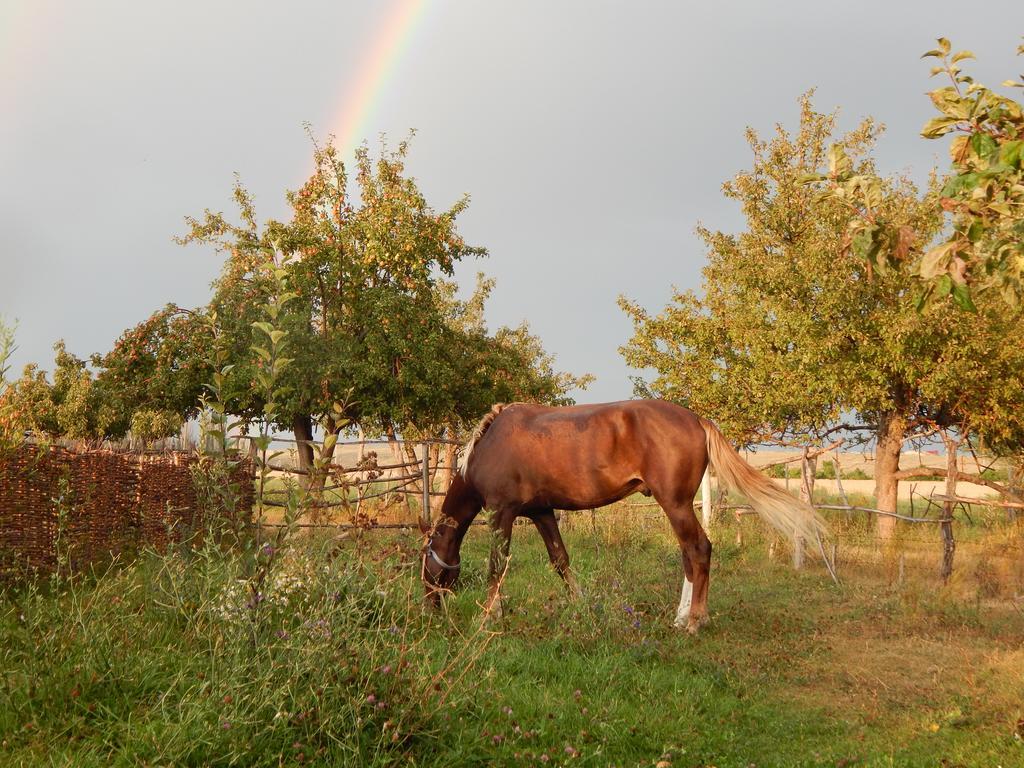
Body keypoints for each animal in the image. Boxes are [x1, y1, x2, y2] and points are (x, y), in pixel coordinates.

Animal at [419, 399, 827, 634]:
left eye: (427, 568)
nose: (431, 611)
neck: (491, 443)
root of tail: (697, 420)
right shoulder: (541, 512)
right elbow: (560, 560)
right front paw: (580, 605)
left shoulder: (502, 512)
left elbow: (496, 564)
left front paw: (489, 615)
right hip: (676, 507)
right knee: (688, 556)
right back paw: (681, 616)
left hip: (675, 505)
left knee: (699, 550)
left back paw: (694, 622)